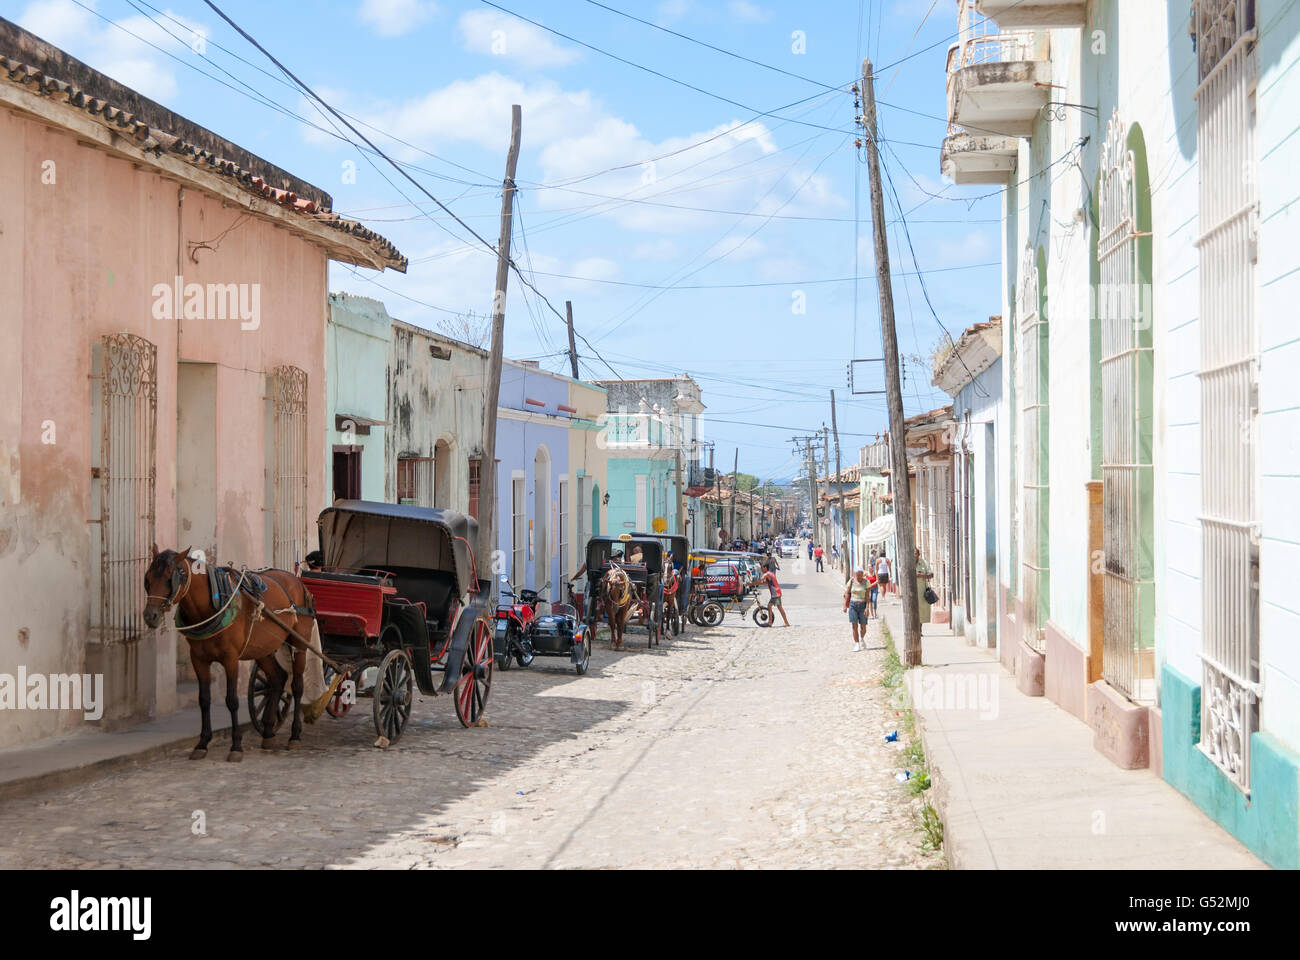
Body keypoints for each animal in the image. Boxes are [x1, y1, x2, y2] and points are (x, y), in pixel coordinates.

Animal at [144, 546, 317, 764]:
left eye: (169, 579)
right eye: (148, 579)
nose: (150, 616)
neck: (210, 606)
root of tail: (297, 581)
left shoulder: (231, 659)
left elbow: (232, 700)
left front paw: (236, 746)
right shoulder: (198, 659)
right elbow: (204, 699)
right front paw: (202, 743)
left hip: (298, 644)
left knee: (297, 686)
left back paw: (294, 735)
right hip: (262, 648)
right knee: (277, 679)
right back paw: (268, 732)